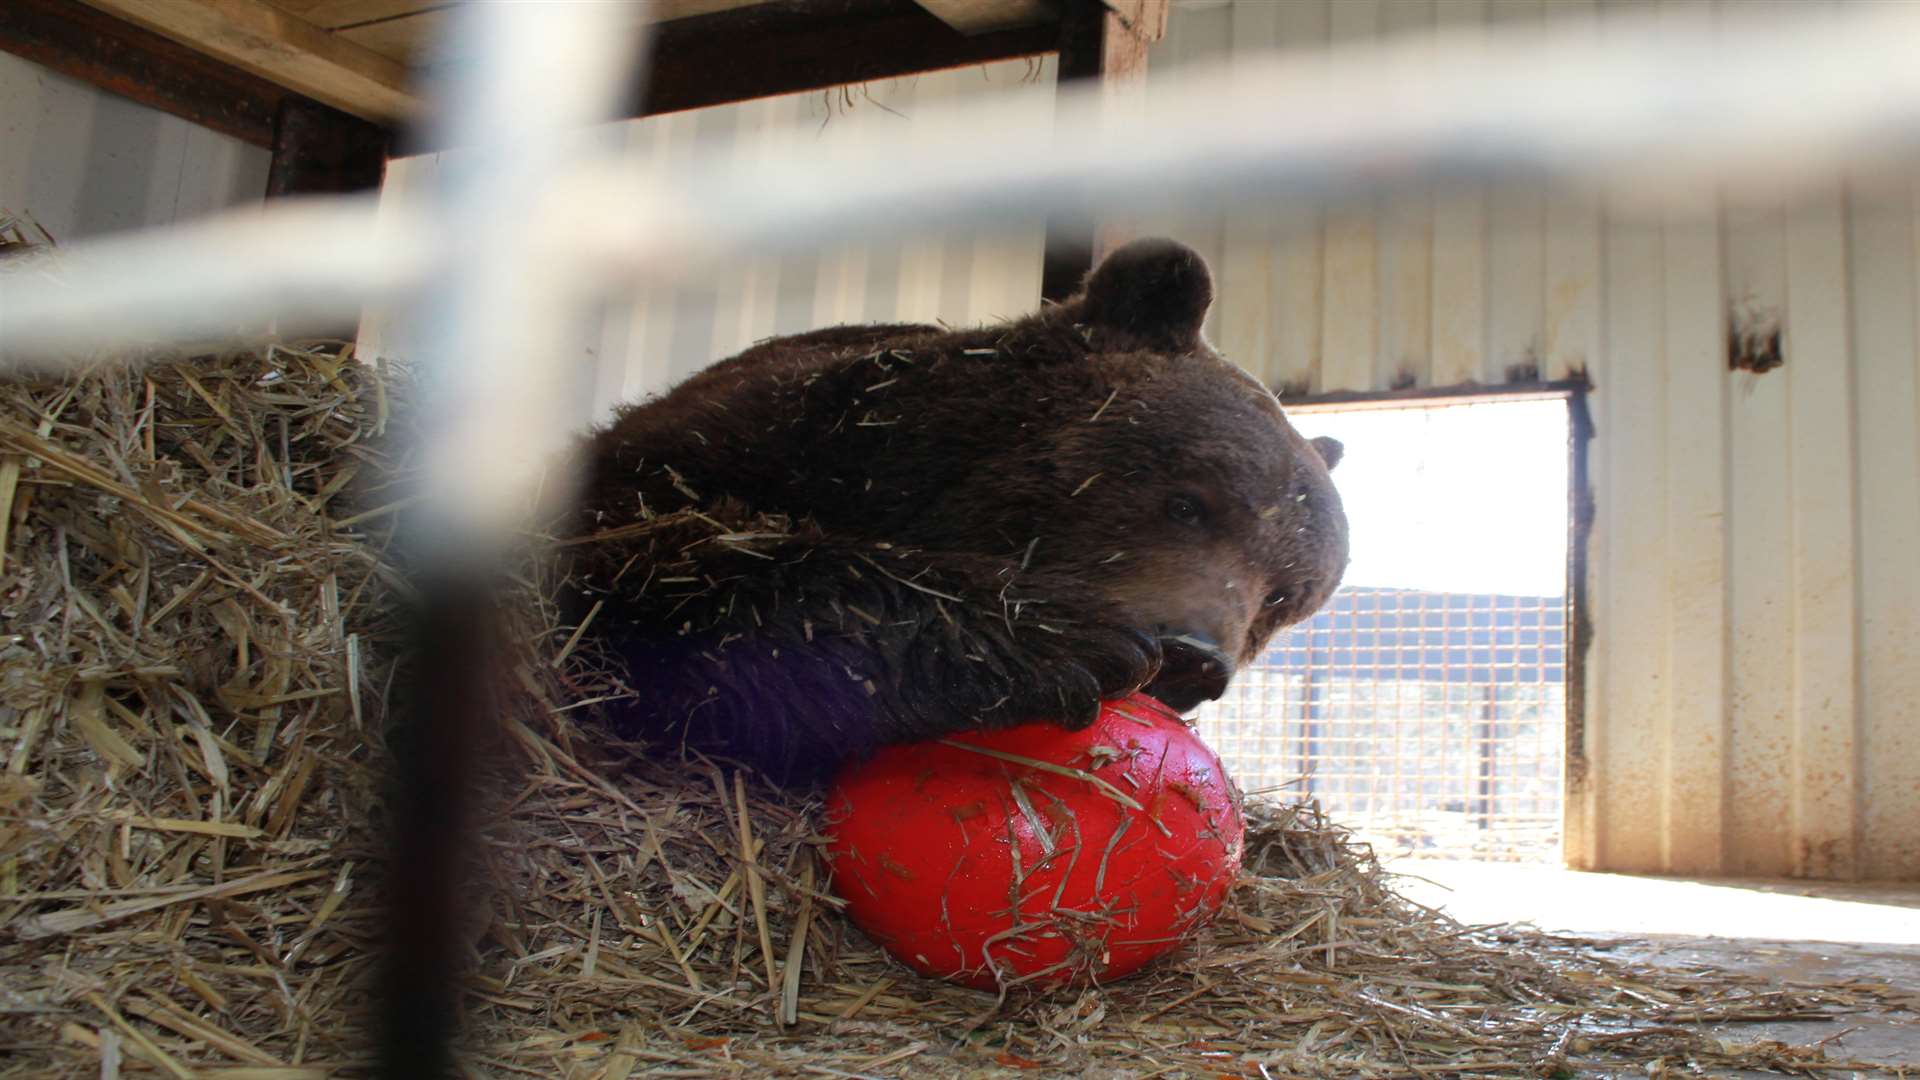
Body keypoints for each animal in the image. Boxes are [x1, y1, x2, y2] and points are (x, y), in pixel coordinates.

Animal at [564, 237, 1351, 780]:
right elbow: (672, 553)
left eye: (1282, 601)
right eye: (1188, 501)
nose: (1195, 657)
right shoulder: (739, 441)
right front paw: (1064, 639)